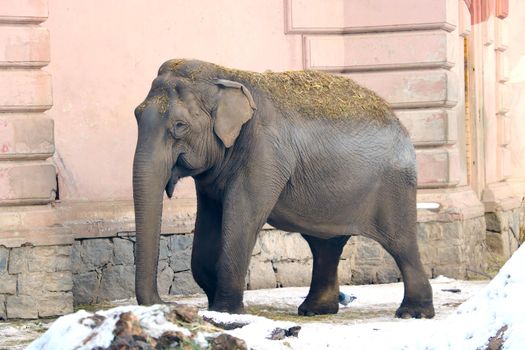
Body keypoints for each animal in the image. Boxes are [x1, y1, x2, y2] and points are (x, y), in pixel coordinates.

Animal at [132, 58, 434, 318]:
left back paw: (413, 313)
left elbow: (242, 217)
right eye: (136, 115)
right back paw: (315, 311)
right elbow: (207, 226)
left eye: (180, 126)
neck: (226, 75)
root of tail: (399, 122)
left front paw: (226, 312)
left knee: (400, 243)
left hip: (394, 186)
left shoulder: (265, 153)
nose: (168, 304)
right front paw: (214, 305)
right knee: (325, 246)